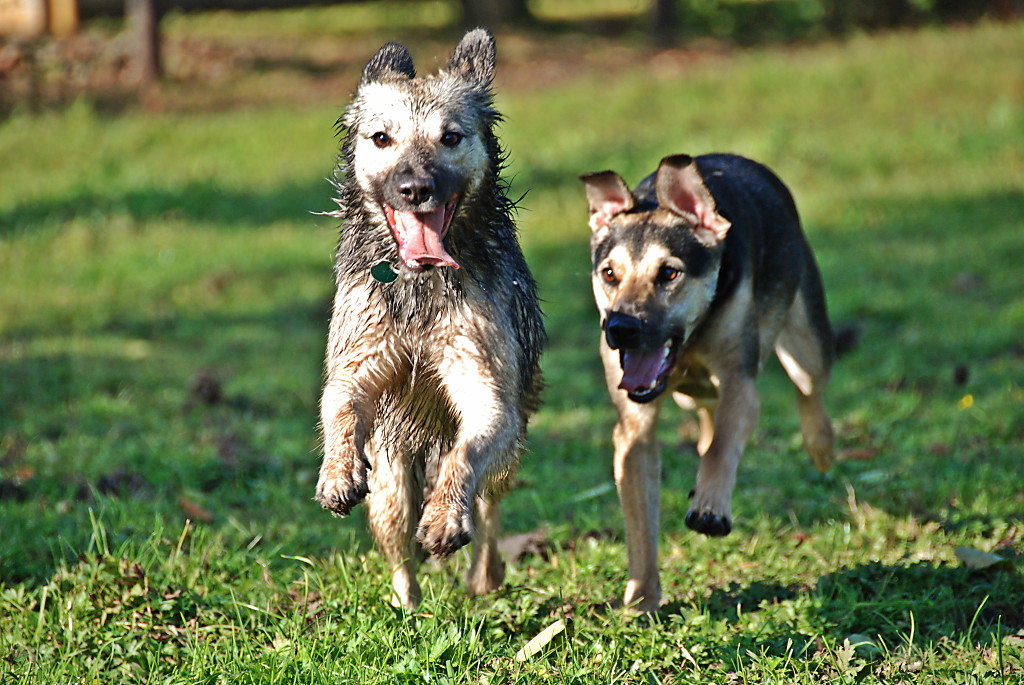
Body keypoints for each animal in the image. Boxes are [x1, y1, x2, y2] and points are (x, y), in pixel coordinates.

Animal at [315, 28, 544, 610]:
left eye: (450, 137)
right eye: (381, 138)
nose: (415, 188)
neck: (420, 284)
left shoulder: (487, 391)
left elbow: (468, 454)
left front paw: (444, 520)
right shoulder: (359, 360)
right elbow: (341, 404)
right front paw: (336, 471)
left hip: (507, 456)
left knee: (487, 510)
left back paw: (482, 574)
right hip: (391, 479)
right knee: (398, 542)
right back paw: (408, 605)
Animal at [581, 153, 835, 610]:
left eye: (669, 273)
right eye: (609, 274)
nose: (622, 328)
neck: (691, 341)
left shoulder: (739, 380)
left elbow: (723, 446)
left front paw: (710, 506)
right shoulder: (634, 424)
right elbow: (640, 517)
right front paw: (642, 599)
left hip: (805, 338)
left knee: (810, 385)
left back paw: (820, 447)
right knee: (704, 411)